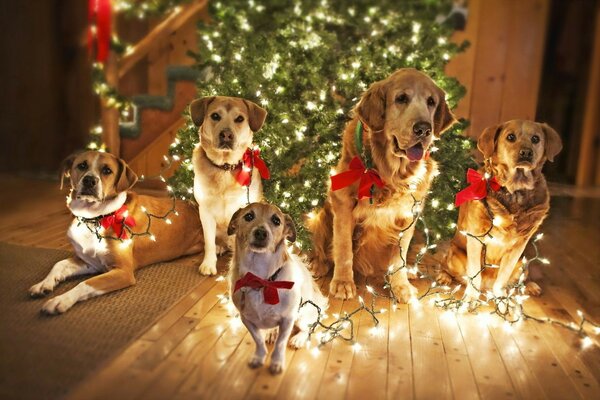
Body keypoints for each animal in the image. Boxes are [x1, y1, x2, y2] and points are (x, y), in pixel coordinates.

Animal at [29, 150, 204, 312]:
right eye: (82, 165)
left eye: (107, 170)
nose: (89, 180)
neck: (95, 218)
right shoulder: (92, 262)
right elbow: (59, 264)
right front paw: (44, 284)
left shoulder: (123, 271)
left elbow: (84, 284)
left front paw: (61, 300)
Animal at [191, 95, 268, 276]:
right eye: (215, 116)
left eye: (239, 119)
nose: (226, 134)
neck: (225, 168)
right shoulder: (205, 210)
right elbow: (208, 242)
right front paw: (209, 264)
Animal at [227, 203, 328, 376]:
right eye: (248, 216)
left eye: (276, 220)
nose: (261, 232)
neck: (261, 279)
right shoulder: (246, 319)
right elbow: (258, 341)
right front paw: (258, 357)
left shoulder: (288, 319)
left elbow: (281, 344)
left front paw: (276, 363)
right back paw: (272, 332)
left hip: (303, 315)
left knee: (309, 327)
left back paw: (298, 338)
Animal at [310, 69, 454, 300]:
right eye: (401, 98)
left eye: (431, 102)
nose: (424, 129)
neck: (390, 174)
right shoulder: (343, 204)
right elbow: (343, 248)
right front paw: (343, 283)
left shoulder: (409, 214)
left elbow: (399, 255)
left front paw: (400, 286)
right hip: (321, 215)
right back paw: (318, 264)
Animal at [440, 119, 564, 300]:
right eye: (510, 137)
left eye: (535, 139)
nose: (526, 153)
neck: (515, 190)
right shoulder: (476, 237)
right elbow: (474, 272)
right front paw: (471, 296)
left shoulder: (519, 245)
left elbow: (504, 273)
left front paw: (500, 294)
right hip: (455, 256)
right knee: (449, 267)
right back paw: (444, 277)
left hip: (522, 262)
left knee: (520, 278)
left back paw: (529, 286)